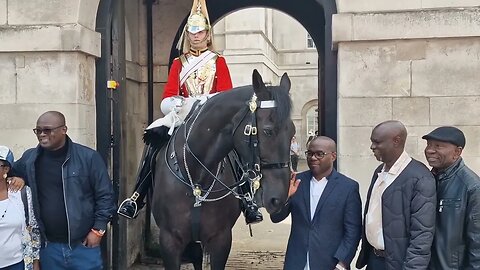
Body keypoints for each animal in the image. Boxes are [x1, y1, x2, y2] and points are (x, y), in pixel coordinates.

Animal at [150, 70, 294, 270]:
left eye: (292, 132)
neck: (197, 178)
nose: (278, 199)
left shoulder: (221, 239)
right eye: (268, 131)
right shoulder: (169, 241)